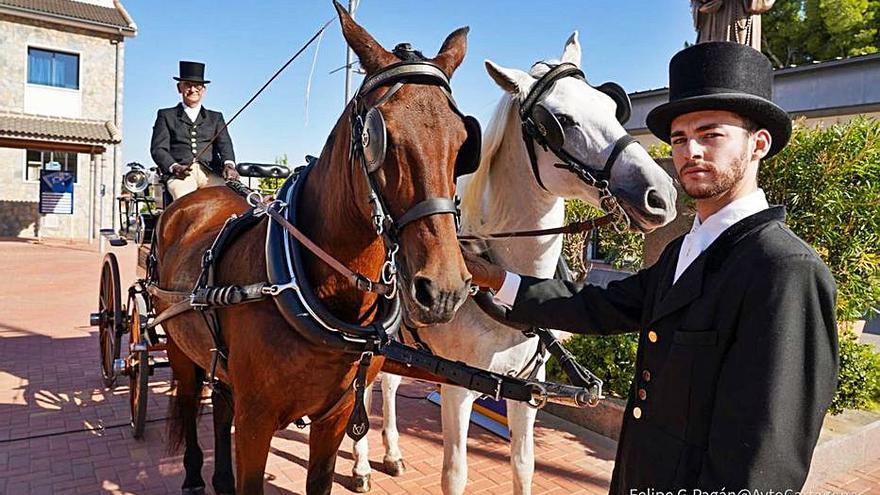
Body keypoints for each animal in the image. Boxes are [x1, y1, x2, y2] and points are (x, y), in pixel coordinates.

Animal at [155, 2, 478, 492]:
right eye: (381, 136)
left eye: (462, 142)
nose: (444, 290)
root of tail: (194, 197)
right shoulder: (256, 422)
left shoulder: (335, 417)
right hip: (178, 347)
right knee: (191, 403)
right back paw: (193, 473)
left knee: (221, 405)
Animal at [348, 32, 672, 495]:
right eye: (561, 120)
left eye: (612, 109)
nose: (661, 193)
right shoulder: (456, 389)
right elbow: (455, 474)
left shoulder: (527, 392)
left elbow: (523, 465)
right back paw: (360, 465)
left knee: (389, 384)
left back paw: (392, 452)